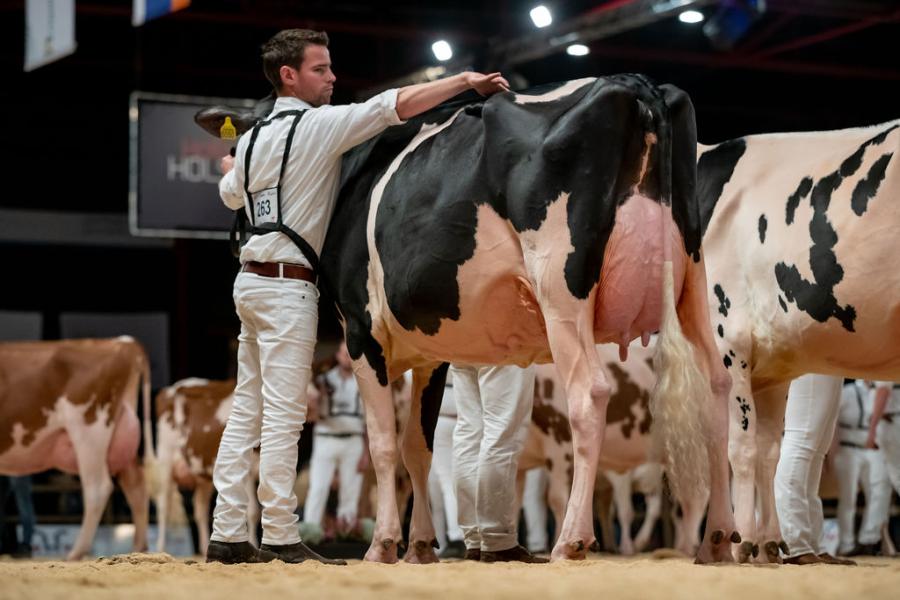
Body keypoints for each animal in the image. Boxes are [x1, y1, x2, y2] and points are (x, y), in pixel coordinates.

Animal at [696, 118, 900, 564]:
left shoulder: (728, 341)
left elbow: (743, 448)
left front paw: (741, 542)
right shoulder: (772, 363)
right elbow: (769, 452)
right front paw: (766, 543)